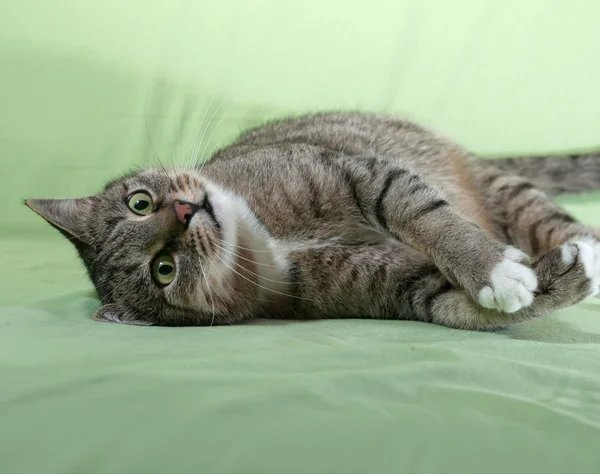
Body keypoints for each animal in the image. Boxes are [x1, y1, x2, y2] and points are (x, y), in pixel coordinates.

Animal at [25, 113, 600, 332]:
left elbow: (425, 215)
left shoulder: (358, 174)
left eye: (140, 202)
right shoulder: (395, 284)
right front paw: (541, 282)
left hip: (505, 191)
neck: (266, 238)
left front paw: (487, 266)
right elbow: (453, 306)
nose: (186, 212)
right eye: (164, 269)